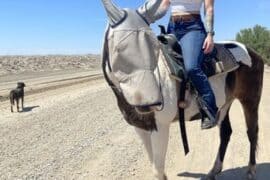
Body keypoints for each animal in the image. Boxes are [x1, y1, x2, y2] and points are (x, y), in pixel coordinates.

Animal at [100, 0, 264, 179]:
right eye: (118, 49)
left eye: (154, 47)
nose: (151, 103)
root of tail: (252, 52)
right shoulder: (140, 128)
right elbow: (154, 167)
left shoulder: (161, 127)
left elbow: (158, 170)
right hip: (224, 104)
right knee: (226, 132)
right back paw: (214, 170)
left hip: (250, 100)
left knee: (252, 131)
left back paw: (251, 170)